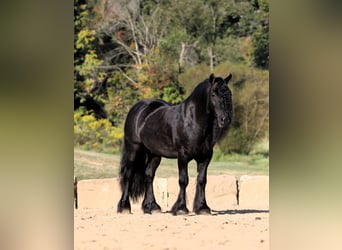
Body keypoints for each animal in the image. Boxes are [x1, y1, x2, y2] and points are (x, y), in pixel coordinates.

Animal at [117, 73, 232, 215]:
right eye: (213, 94)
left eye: (229, 93)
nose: (225, 119)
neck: (193, 121)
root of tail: (137, 108)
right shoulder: (183, 157)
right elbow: (183, 180)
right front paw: (181, 208)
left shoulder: (205, 157)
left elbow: (202, 180)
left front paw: (202, 207)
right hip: (133, 149)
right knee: (128, 175)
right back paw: (124, 207)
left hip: (154, 154)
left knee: (148, 176)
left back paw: (152, 207)